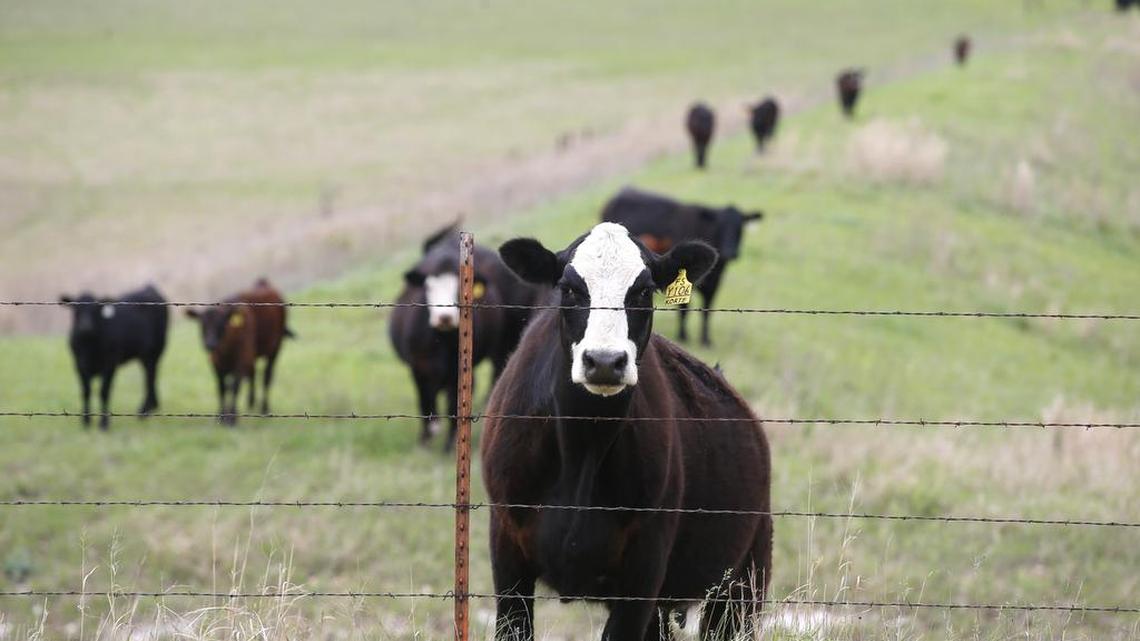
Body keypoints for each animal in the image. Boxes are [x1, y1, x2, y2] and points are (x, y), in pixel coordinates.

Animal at [60, 284, 169, 430]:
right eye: (76, 309)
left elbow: (104, 392)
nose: (85, 327)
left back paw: (144, 410)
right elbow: (86, 391)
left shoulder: (110, 364)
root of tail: (149, 287)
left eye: (95, 309)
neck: (89, 347)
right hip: (145, 355)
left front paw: (104, 423)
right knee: (150, 375)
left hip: (156, 350)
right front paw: (86, 421)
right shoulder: (79, 365)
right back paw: (150, 407)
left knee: (150, 376)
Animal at [185, 279, 293, 426]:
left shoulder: (241, 359)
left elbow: (235, 387)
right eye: (202, 324)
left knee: (266, 377)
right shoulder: (216, 363)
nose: (210, 343)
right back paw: (251, 402)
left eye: (222, 324)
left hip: (275, 348)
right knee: (252, 373)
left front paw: (232, 418)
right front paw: (220, 416)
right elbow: (222, 388)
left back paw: (264, 409)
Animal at [390, 223, 546, 450]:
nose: (444, 317)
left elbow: (453, 408)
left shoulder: (457, 372)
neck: (442, 340)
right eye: (429, 287)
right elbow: (424, 402)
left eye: (459, 288)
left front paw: (449, 445)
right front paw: (425, 441)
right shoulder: (418, 367)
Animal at [483, 222, 773, 641]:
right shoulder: (507, 554)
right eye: (569, 288)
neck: (583, 447)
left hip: (743, 582)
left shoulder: (643, 571)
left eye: (642, 290)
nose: (605, 361)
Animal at [601, 187, 763, 347]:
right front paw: (683, 336)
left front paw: (705, 339)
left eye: (740, 228)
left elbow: (707, 310)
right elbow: (684, 309)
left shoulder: (714, 283)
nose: (731, 252)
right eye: (720, 226)